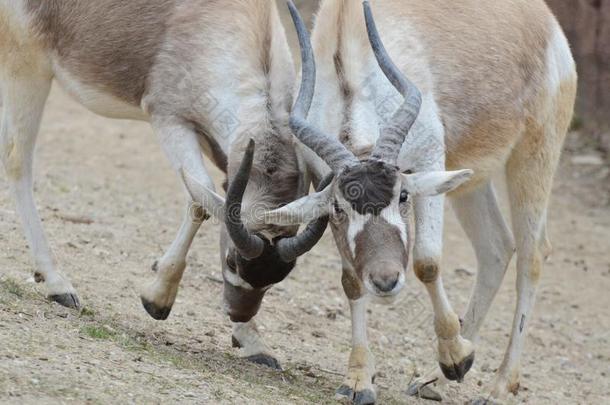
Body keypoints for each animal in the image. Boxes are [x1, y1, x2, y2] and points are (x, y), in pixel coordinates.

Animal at [0, 0, 328, 366]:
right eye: (232, 261)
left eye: (282, 272)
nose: (238, 314)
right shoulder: (170, 120)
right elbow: (200, 200)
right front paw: (157, 298)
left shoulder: (222, 148)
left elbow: (214, 198)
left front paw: (254, 343)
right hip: (27, 64)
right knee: (17, 158)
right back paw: (57, 284)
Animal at [268, 1, 576, 402]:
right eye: (339, 209)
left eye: (402, 195)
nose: (385, 281)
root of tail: (544, 20)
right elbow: (351, 282)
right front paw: (359, 379)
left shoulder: (429, 157)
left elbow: (427, 263)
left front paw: (456, 357)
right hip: (468, 178)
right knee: (496, 247)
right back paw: (435, 378)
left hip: (535, 152)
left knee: (532, 255)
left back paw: (497, 386)